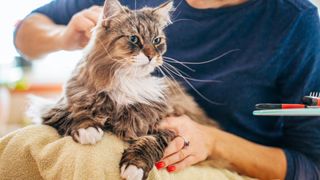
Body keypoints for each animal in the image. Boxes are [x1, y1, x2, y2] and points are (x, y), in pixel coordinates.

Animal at [32, 0, 225, 179]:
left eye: (157, 41)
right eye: (134, 39)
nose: (151, 56)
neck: (126, 80)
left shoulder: (168, 125)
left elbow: (150, 142)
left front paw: (134, 167)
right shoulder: (54, 109)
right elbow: (76, 113)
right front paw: (88, 130)